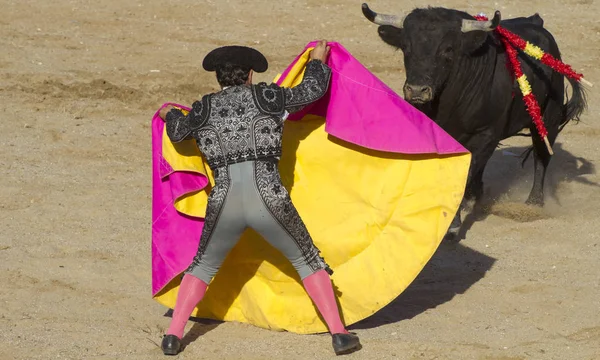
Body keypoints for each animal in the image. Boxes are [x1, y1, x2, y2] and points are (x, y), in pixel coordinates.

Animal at [360, 2, 584, 240]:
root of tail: (537, 23)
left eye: (448, 49)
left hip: (548, 118)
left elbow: (465, 174)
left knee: (541, 155)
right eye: (406, 47)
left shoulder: (486, 135)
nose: (417, 90)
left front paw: (453, 225)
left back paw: (533, 203)